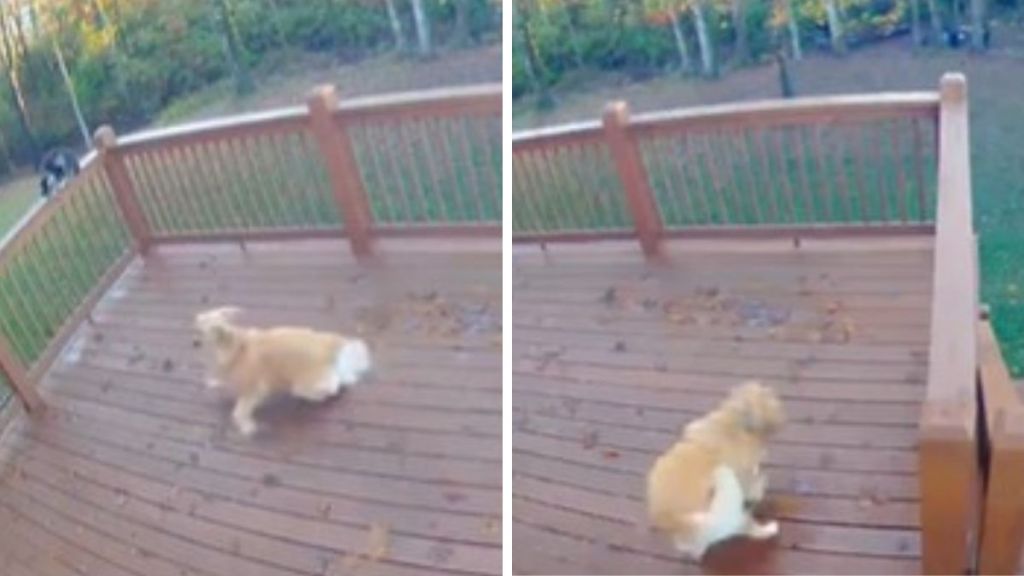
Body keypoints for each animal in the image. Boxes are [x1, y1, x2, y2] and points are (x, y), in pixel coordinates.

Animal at [192, 305, 372, 434]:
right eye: (196, 328)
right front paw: (214, 382)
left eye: (201, 334)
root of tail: (328, 345)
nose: (193, 342)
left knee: (333, 384)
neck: (237, 347)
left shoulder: (254, 391)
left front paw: (247, 427)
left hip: (304, 386)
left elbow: (238, 412)